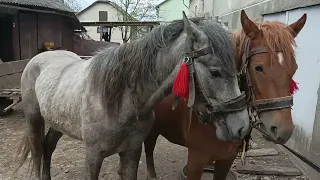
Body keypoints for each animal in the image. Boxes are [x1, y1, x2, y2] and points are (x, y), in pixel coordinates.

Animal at [16, 13, 250, 179]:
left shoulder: (132, 151)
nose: (242, 126)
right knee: (38, 152)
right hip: (34, 120)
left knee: (48, 146)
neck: (120, 103)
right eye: (214, 72)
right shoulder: (93, 156)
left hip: (58, 122)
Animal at [144, 10, 306, 180]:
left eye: (294, 67)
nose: (284, 130)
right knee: (149, 148)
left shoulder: (227, 159)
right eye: (258, 67)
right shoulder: (196, 160)